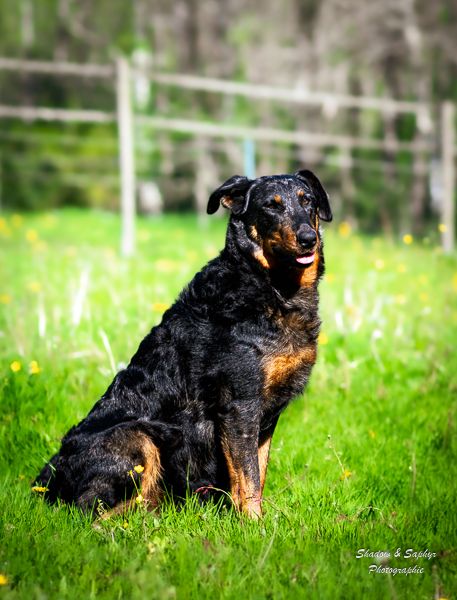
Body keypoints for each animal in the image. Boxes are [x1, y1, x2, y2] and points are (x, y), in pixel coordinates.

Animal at [33, 170, 330, 520]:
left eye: (307, 201)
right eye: (271, 206)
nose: (309, 237)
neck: (270, 287)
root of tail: (47, 479)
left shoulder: (266, 416)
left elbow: (258, 472)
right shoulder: (239, 405)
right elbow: (248, 480)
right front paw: (255, 526)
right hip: (138, 437)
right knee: (92, 513)